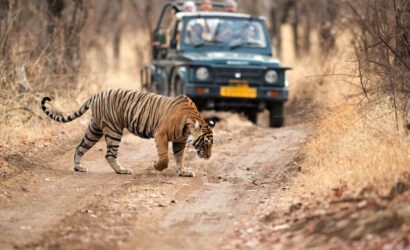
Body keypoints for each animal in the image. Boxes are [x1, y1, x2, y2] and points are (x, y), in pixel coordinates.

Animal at [40, 89, 216, 177]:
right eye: (206, 143)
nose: (208, 157)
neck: (189, 123)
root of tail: (97, 95)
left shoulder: (180, 140)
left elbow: (180, 157)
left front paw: (183, 172)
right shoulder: (161, 134)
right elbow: (165, 157)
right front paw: (156, 165)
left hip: (95, 129)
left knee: (80, 146)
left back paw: (79, 167)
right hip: (113, 130)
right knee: (109, 154)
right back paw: (122, 170)